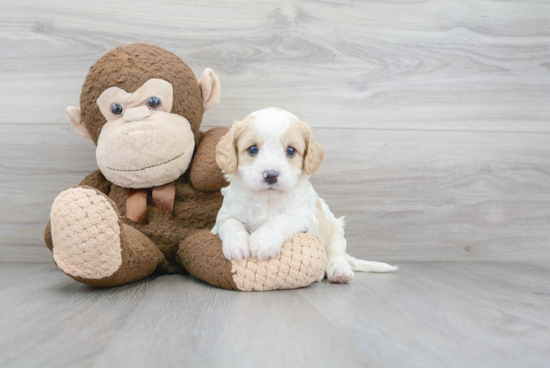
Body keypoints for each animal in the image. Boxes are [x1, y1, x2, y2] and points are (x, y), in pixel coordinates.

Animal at [211, 108, 396, 284]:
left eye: (291, 151)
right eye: (252, 149)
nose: (271, 175)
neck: (267, 200)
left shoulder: (301, 215)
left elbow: (279, 220)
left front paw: (263, 241)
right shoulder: (226, 213)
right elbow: (231, 224)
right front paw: (236, 246)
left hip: (336, 230)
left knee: (336, 255)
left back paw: (339, 272)